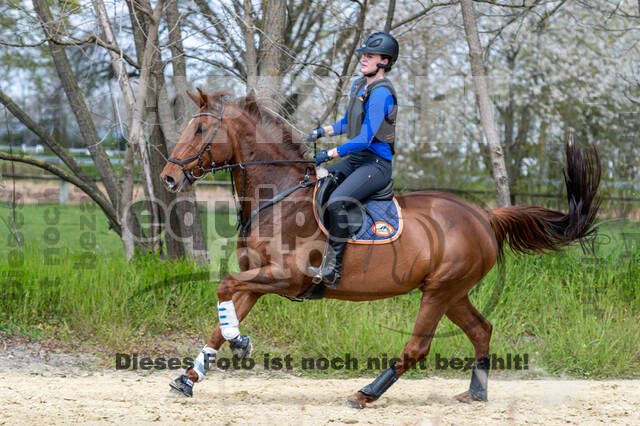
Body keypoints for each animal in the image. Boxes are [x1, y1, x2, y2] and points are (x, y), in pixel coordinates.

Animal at [159, 88, 600, 408]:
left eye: (200, 130)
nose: (167, 178)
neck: (280, 196)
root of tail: (484, 215)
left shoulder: (287, 277)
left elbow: (224, 287)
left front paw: (240, 344)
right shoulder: (257, 279)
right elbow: (222, 316)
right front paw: (190, 376)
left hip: (439, 291)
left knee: (418, 346)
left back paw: (366, 393)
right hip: (453, 292)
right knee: (481, 329)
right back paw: (475, 393)